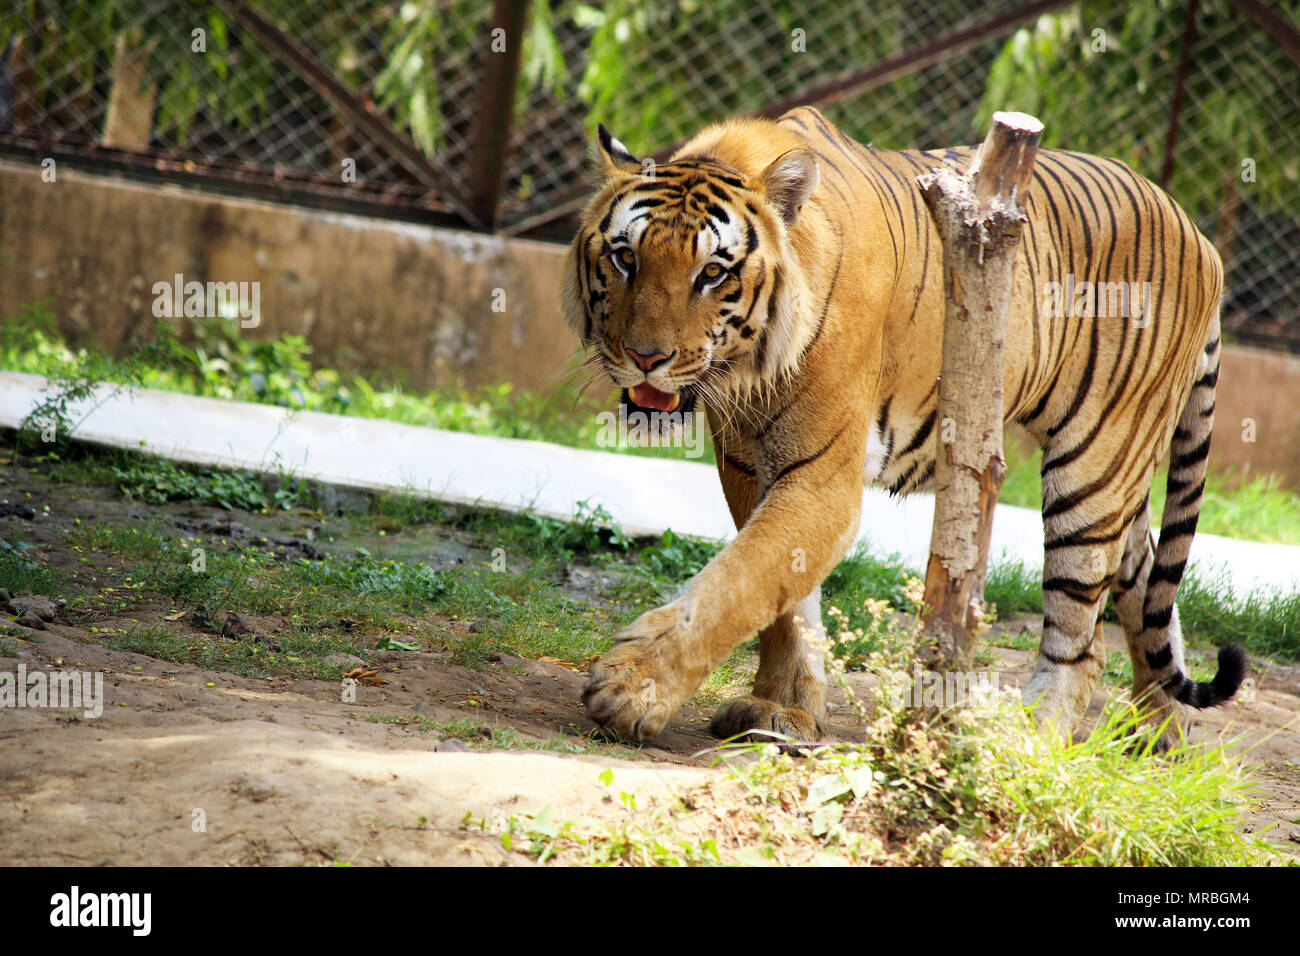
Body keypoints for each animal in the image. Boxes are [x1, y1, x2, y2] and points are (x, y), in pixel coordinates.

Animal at [561, 102, 1248, 749]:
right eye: (625, 258)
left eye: (712, 273)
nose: (645, 356)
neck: (750, 366)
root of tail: (1200, 234)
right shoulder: (748, 467)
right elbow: (785, 599)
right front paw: (783, 709)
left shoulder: (821, 478)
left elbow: (739, 582)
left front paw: (631, 689)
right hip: (1123, 476)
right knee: (1145, 587)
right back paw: (1158, 733)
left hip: (1096, 464)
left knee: (1082, 639)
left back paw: (1027, 735)